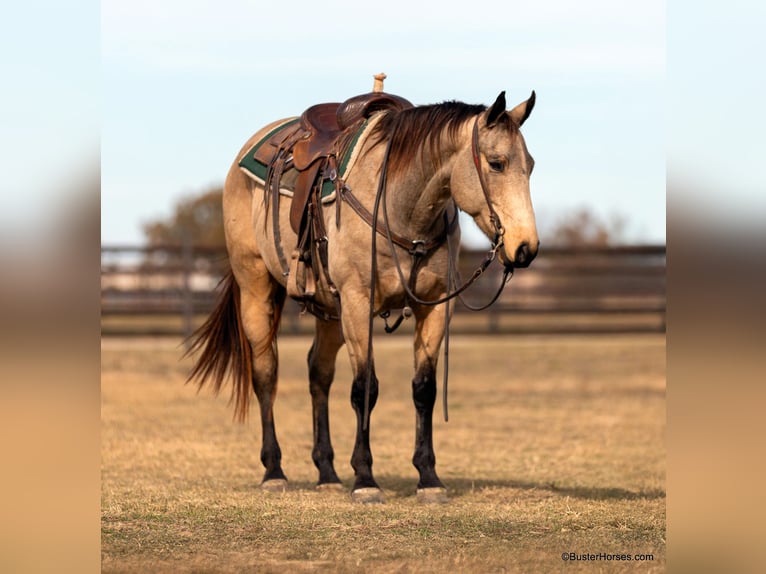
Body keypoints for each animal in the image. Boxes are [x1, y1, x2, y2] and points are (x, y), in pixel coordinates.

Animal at [188, 75, 540, 504]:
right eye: (496, 163)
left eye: (530, 165)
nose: (525, 248)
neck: (401, 207)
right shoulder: (358, 303)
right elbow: (364, 389)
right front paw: (365, 478)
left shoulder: (434, 307)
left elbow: (424, 389)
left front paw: (429, 478)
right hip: (256, 289)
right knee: (266, 373)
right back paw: (274, 470)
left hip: (329, 311)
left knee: (318, 374)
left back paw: (326, 471)